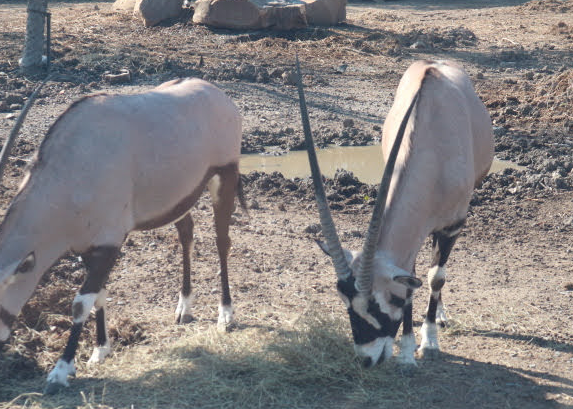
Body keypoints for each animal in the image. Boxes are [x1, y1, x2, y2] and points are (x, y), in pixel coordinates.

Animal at [0, 77, 244, 392]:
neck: (68, 173)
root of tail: (216, 92)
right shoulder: (87, 247)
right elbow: (100, 294)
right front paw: (100, 350)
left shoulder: (110, 242)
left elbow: (81, 303)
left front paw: (60, 371)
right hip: (180, 198)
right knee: (186, 234)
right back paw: (184, 307)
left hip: (225, 177)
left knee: (222, 242)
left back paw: (225, 314)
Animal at [298, 57, 494, 366]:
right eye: (346, 304)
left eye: (383, 303)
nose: (366, 360)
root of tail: (435, 63)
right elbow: (414, 282)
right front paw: (406, 351)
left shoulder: (453, 225)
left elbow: (436, 277)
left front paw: (429, 342)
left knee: (438, 271)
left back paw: (439, 315)